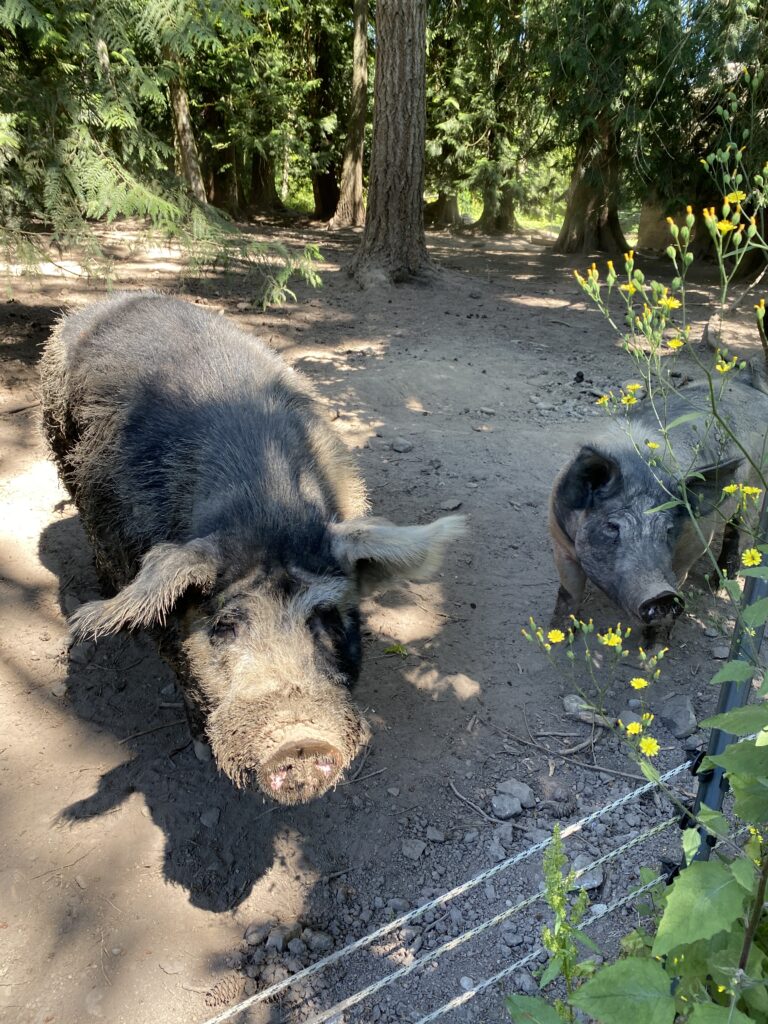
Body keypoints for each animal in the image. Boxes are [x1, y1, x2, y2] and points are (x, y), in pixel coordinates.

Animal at [549, 375, 768, 634]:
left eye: (669, 529)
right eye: (611, 526)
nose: (660, 594)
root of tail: (751, 386)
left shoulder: (694, 544)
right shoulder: (559, 538)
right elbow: (570, 592)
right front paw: (559, 634)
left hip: (757, 491)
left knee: (739, 533)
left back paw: (718, 586)